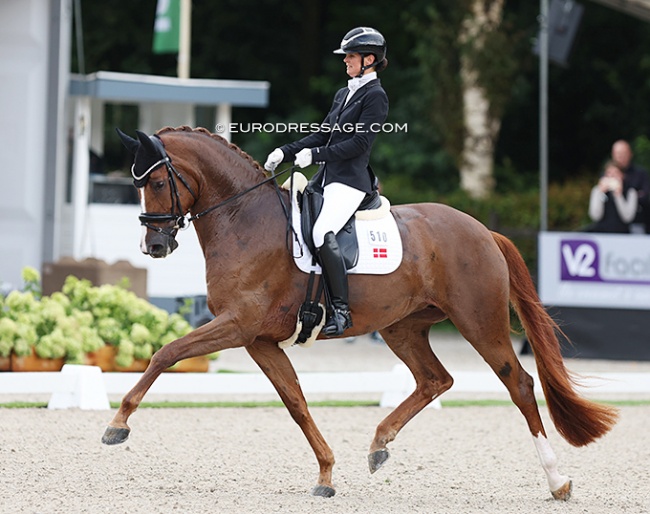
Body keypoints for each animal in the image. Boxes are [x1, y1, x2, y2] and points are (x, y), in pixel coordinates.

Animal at [104, 126, 616, 498]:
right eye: (137, 184)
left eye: (155, 182)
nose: (154, 246)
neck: (244, 220)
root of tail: (483, 230)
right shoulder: (258, 339)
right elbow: (295, 402)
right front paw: (327, 475)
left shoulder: (237, 326)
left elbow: (166, 353)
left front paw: (117, 425)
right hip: (402, 328)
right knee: (436, 380)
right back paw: (379, 446)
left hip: (479, 321)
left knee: (520, 385)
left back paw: (558, 481)